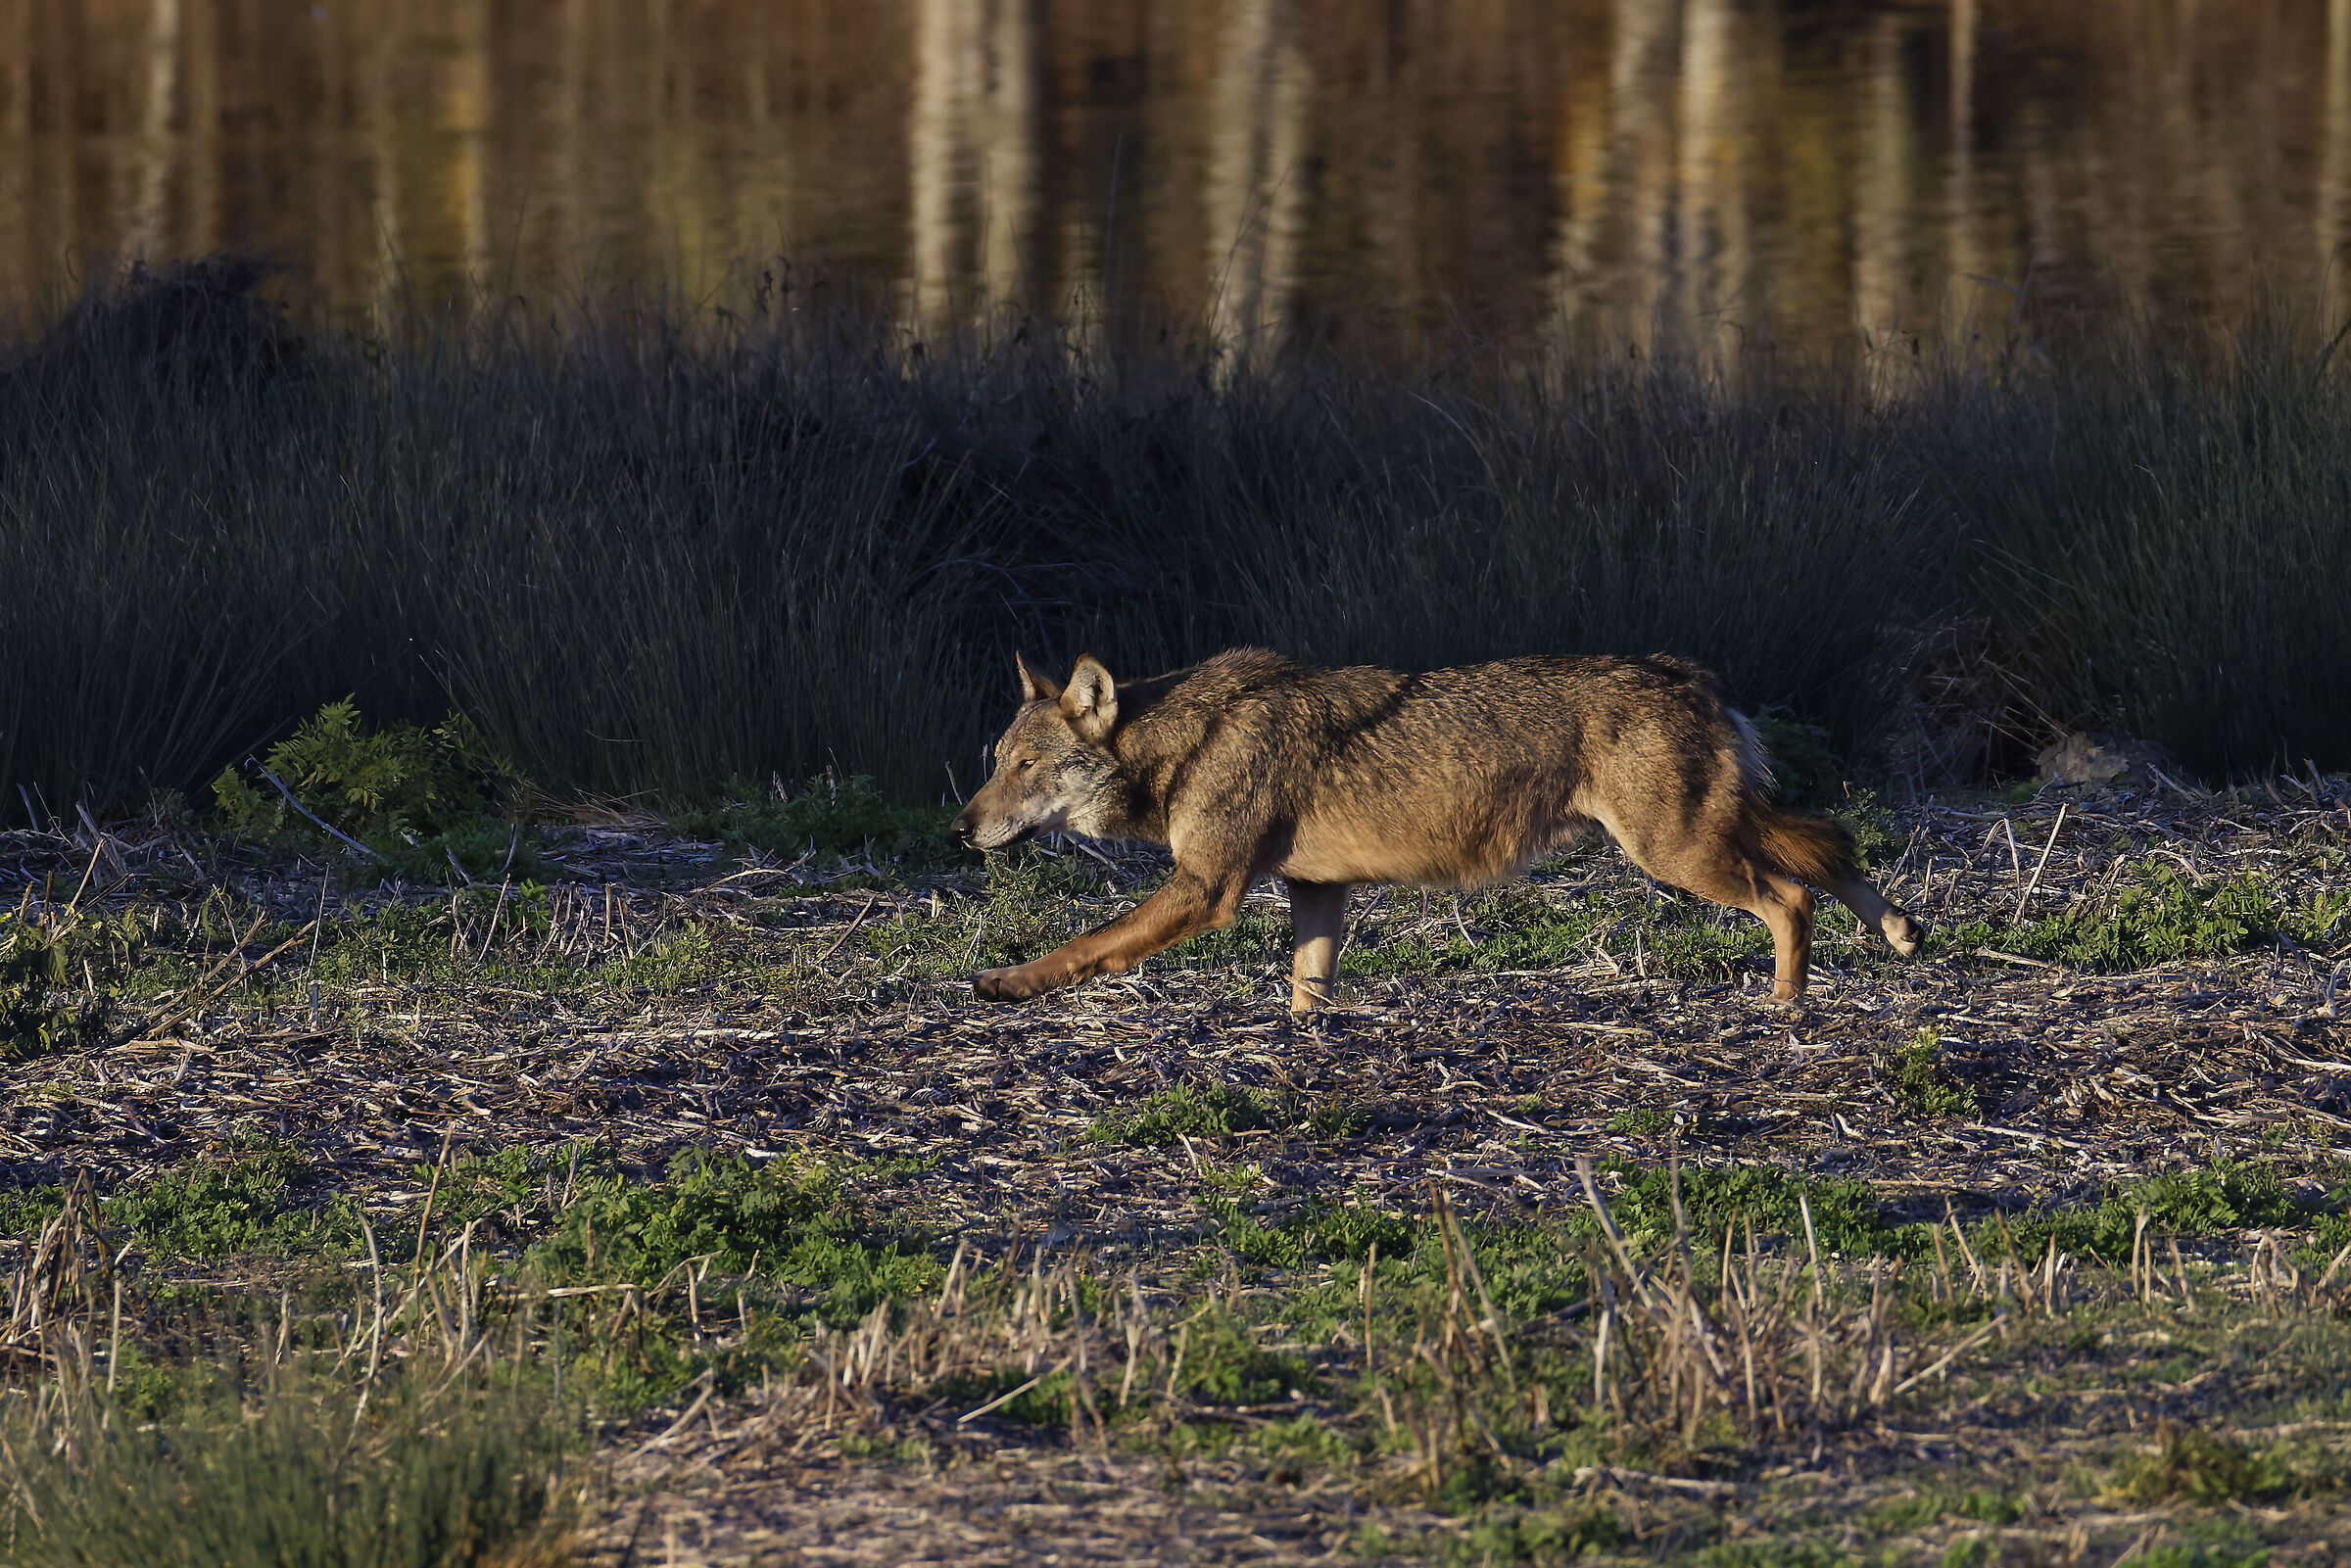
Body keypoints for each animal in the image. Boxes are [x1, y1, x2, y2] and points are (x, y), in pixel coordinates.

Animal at [951, 648, 1922, 1011]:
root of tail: (1692, 677)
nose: (962, 829)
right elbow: (1307, 990)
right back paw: (1902, 931)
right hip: (1699, 841)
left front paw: (1003, 981)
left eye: (1025, 766)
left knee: (1791, 894)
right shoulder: (1317, 892)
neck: (1190, 743)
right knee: (1830, 845)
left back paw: (1786, 1002)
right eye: (997, 759)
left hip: (1679, 855)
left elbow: (1089, 944)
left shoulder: (1206, 890)